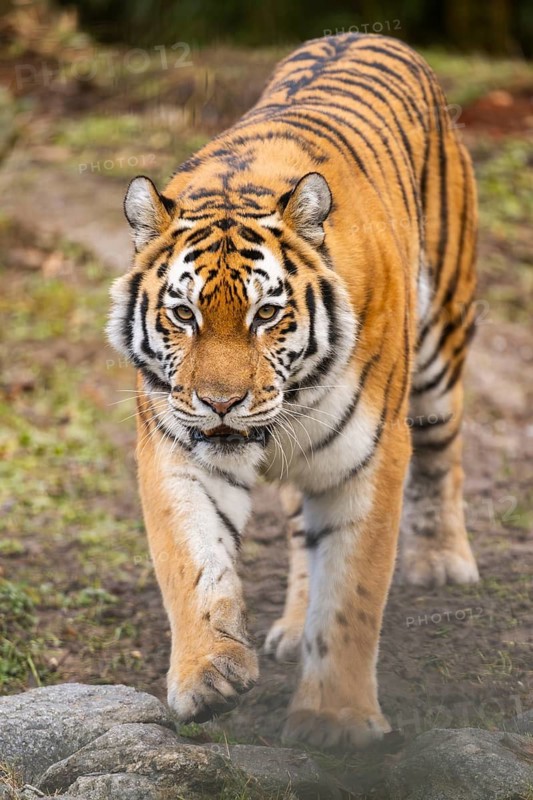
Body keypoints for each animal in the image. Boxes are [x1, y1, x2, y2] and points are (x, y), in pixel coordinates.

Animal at [108, 33, 479, 750]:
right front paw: (208, 674)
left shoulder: (370, 456)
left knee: (445, 456)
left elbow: (352, 591)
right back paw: (287, 628)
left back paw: (445, 559)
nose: (221, 403)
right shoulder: (176, 448)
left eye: (266, 315)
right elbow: (191, 562)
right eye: (183, 314)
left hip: (438, 349)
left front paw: (335, 721)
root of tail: (369, 32)